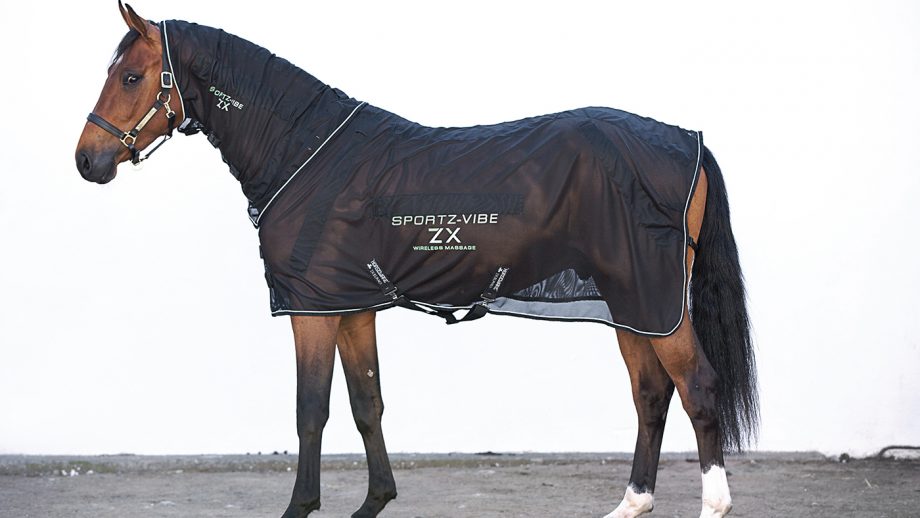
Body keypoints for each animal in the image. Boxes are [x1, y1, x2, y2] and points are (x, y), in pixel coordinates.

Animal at [74, 3, 758, 517]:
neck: (305, 153)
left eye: (131, 77)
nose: (87, 161)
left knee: (697, 388)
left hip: (655, 300)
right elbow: (366, 404)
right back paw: (632, 503)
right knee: (650, 393)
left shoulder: (312, 310)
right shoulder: (352, 308)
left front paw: (301, 506)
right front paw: (375, 500)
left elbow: (311, 410)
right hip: (634, 302)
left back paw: (712, 504)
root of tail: (687, 141)